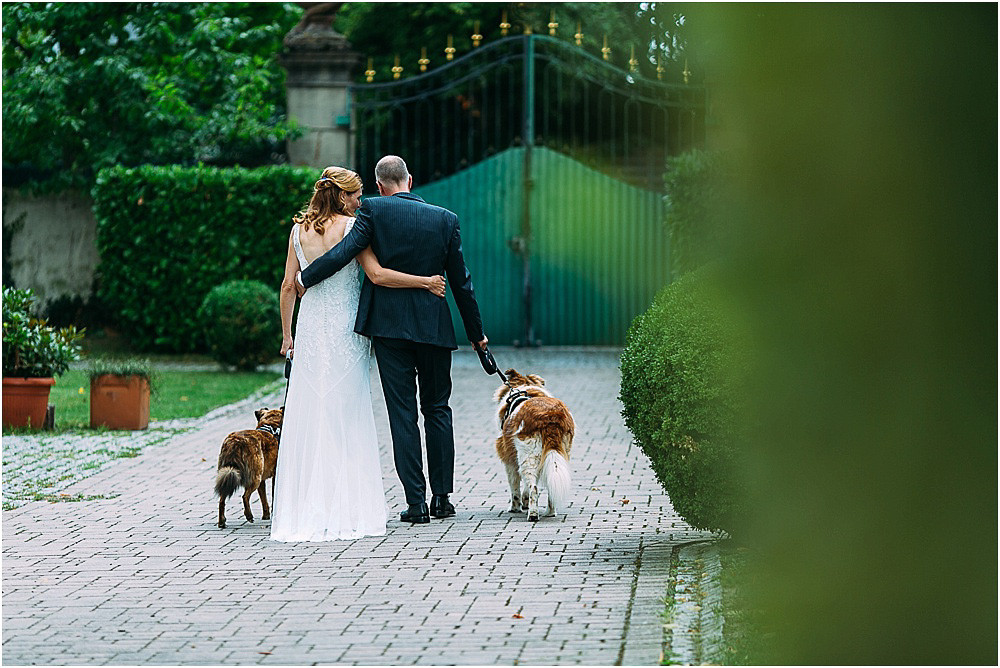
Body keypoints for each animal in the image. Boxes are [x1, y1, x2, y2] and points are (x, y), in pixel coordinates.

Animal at [494, 370, 576, 520]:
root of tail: (551, 416)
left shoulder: (509, 461)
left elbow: (515, 487)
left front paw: (515, 508)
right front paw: (524, 503)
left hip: (527, 455)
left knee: (534, 488)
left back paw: (532, 514)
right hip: (560, 453)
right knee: (549, 484)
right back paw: (550, 512)